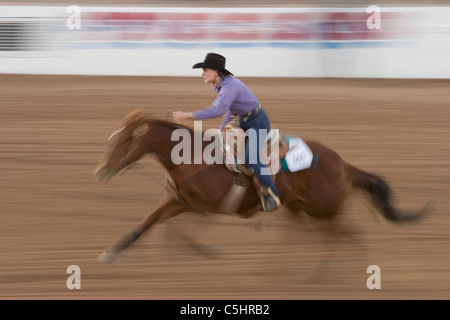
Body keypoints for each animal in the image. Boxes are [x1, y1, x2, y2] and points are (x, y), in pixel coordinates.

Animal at [93, 109, 430, 264]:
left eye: (124, 141)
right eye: (112, 138)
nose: (99, 170)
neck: (194, 157)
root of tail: (342, 163)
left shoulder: (205, 208)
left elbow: (179, 231)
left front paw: (201, 251)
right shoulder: (179, 201)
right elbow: (147, 224)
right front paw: (111, 252)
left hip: (323, 210)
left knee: (346, 236)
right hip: (299, 207)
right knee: (309, 237)